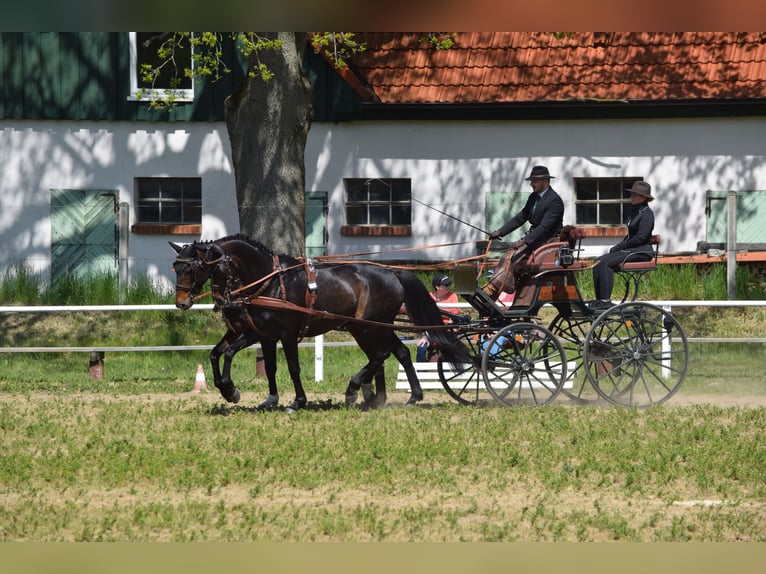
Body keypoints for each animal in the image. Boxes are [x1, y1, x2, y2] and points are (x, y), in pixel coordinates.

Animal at [198, 236, 472, 412]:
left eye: (217, 268)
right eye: (200, 269)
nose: (220, 301)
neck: (271, 283)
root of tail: (391, 272)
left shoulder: (284, 334)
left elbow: (292, 368)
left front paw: (296, 402)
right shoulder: (263, 334)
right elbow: (260, 363)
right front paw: (248, 394)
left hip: (365, 326)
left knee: (380, 355)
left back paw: (355, 390)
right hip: (375, 326)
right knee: (397, 352)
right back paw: (405, 396)